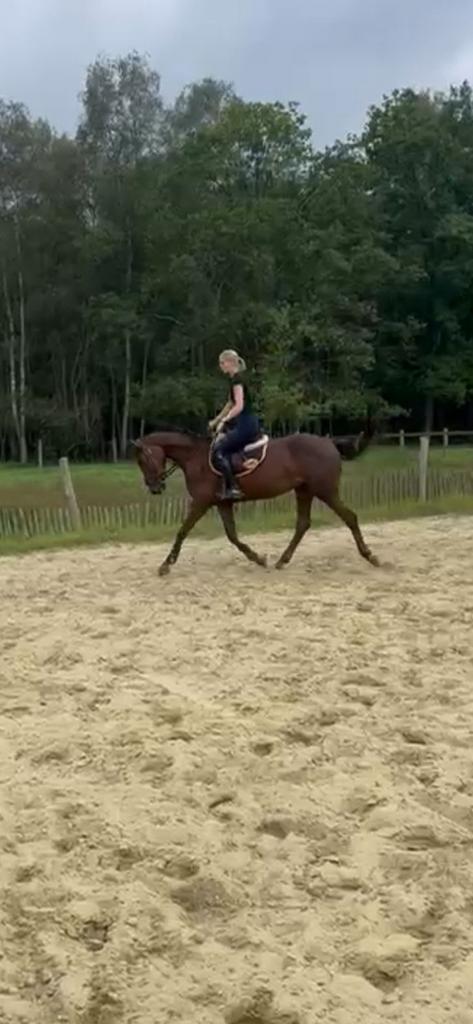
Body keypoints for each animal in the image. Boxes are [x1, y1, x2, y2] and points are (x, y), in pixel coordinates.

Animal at [130, 423, 380, 577]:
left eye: (142, 460)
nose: (154, 487)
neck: (196, 458)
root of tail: (328, 443)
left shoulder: (201, 503)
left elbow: (182, 531)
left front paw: (165, 565)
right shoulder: (222, 503)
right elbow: (232, 536)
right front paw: (259, 558)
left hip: (324, 490)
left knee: (349, 517)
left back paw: (370, 556)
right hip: (304, 491)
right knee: (303, 524)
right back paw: (282, 560)